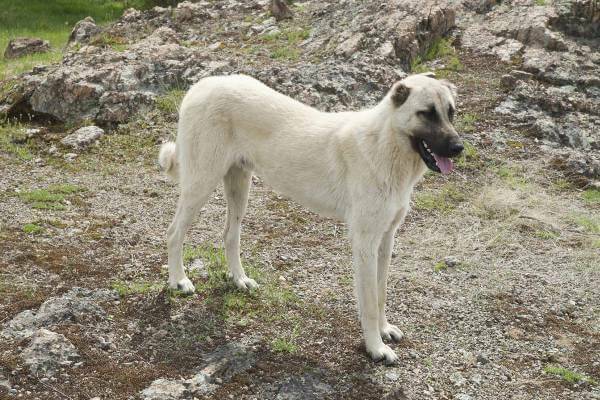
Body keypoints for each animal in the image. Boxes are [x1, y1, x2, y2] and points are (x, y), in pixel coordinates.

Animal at [159, 73, 464, 364]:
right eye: (427, 113)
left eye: (451, 112)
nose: (459, 147)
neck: (386, 145)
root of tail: (204, 84)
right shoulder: (365, 243)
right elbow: (368, 303)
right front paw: (376, 348)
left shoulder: (386, 240)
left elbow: (381, 294)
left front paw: (384, 330)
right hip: (201, 183)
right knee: (174, 233)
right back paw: (179, 280)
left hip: (239, 186)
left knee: (229, 236)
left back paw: (240, 280)